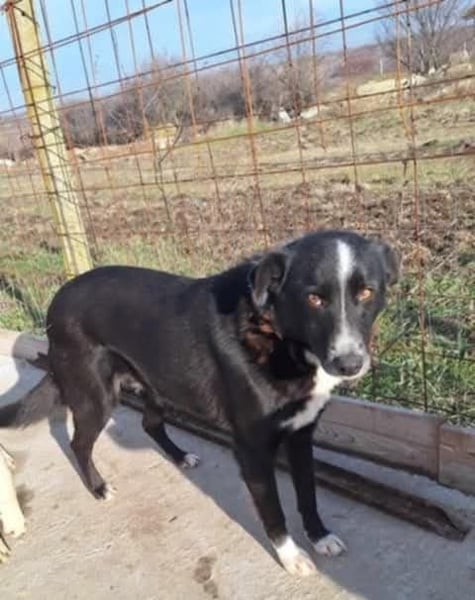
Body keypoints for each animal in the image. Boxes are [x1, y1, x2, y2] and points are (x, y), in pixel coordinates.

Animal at [0, 230, 398, 575]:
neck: (276, 334)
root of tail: (58, 296)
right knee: (79, 442)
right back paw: (99, 487)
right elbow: (273, 511)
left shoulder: (301, 434)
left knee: (149, 423)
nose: (349, 364)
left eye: (366, 292)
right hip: (96, 396)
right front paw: (291, 557)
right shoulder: (252, 449)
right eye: (314, 298)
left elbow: (308, 493)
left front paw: (319, 536)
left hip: (159, 381)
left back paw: (178, 456)